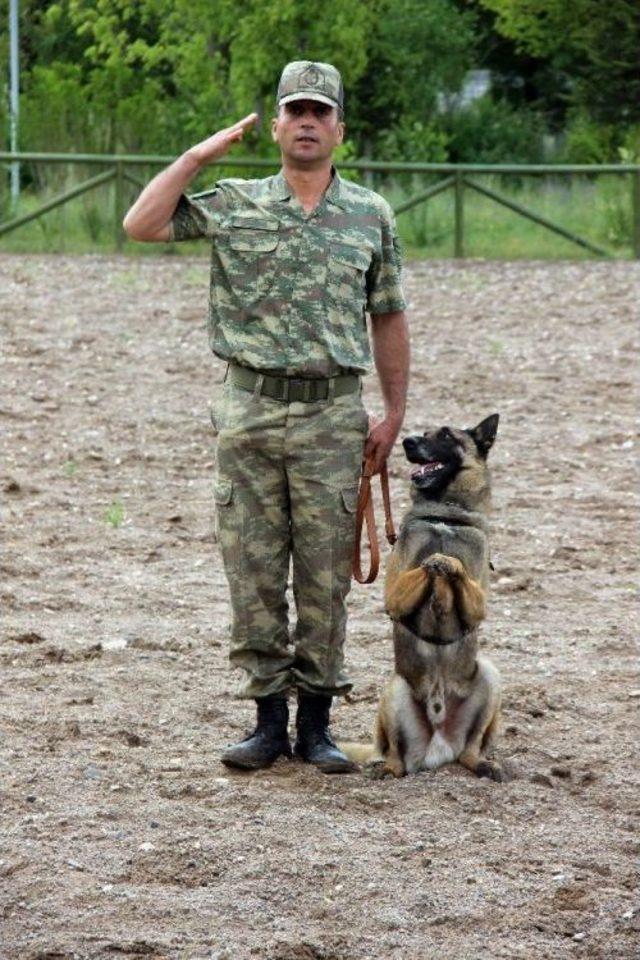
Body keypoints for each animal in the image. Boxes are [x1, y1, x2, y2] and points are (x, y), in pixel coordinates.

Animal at [342, 412, 502, 780]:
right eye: (425, 433)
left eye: (445, 436)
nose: (408, 442)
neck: (445, 515)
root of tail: (438, 745)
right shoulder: (395, 594)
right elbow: (426, 568)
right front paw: (438, 573)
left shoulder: (478, 604)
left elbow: (452, 568)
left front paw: (445, 575)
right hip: (396, 689)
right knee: (396, 758)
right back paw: (387, 768)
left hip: (489, 675)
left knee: (471, 749)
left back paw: (483, 764)